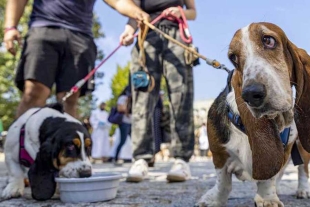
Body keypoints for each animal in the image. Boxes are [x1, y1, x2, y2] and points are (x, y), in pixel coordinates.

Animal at [196, 21, 310, 206]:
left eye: (268, 40)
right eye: (233, 57)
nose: (251, 94)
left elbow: (269, 178)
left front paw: (267, 198)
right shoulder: (218, 154)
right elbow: (223, 182)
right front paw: (214, 199)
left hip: (301, 146)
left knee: (302, 169)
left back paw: (303, 189)